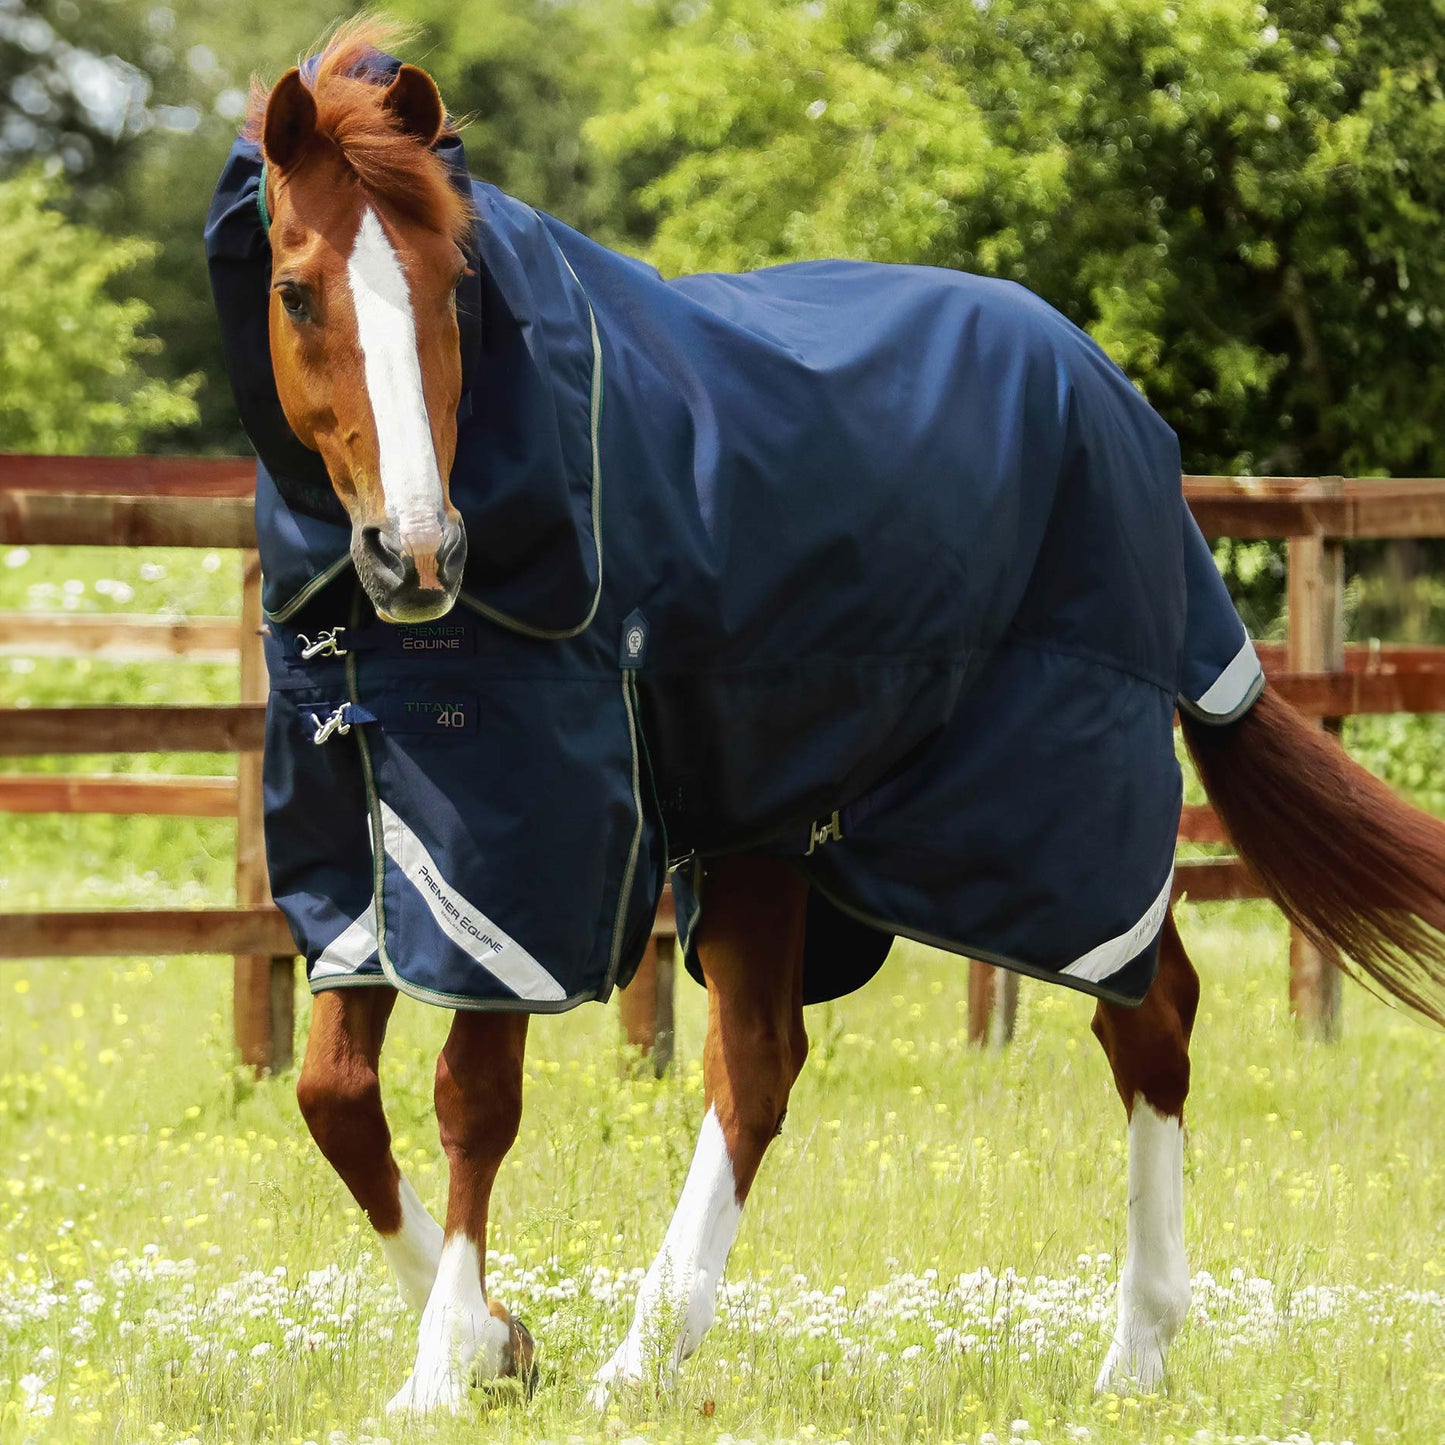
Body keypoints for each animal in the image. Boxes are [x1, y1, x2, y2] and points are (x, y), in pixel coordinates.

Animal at [206, 20, 1445, 1415]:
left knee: (1146, 1010)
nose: (416, 552)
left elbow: (473, 1093)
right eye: (296, 290)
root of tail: (1118, 405)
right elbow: (332, 1094)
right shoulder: (367, 844)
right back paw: (647, 1354)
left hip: (1047, 803)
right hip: (772, 819)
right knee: (762, 1061)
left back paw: (1129, 1353)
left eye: (448, 282)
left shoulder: (526, 853)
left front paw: (439, 1365)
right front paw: (497, 1338)